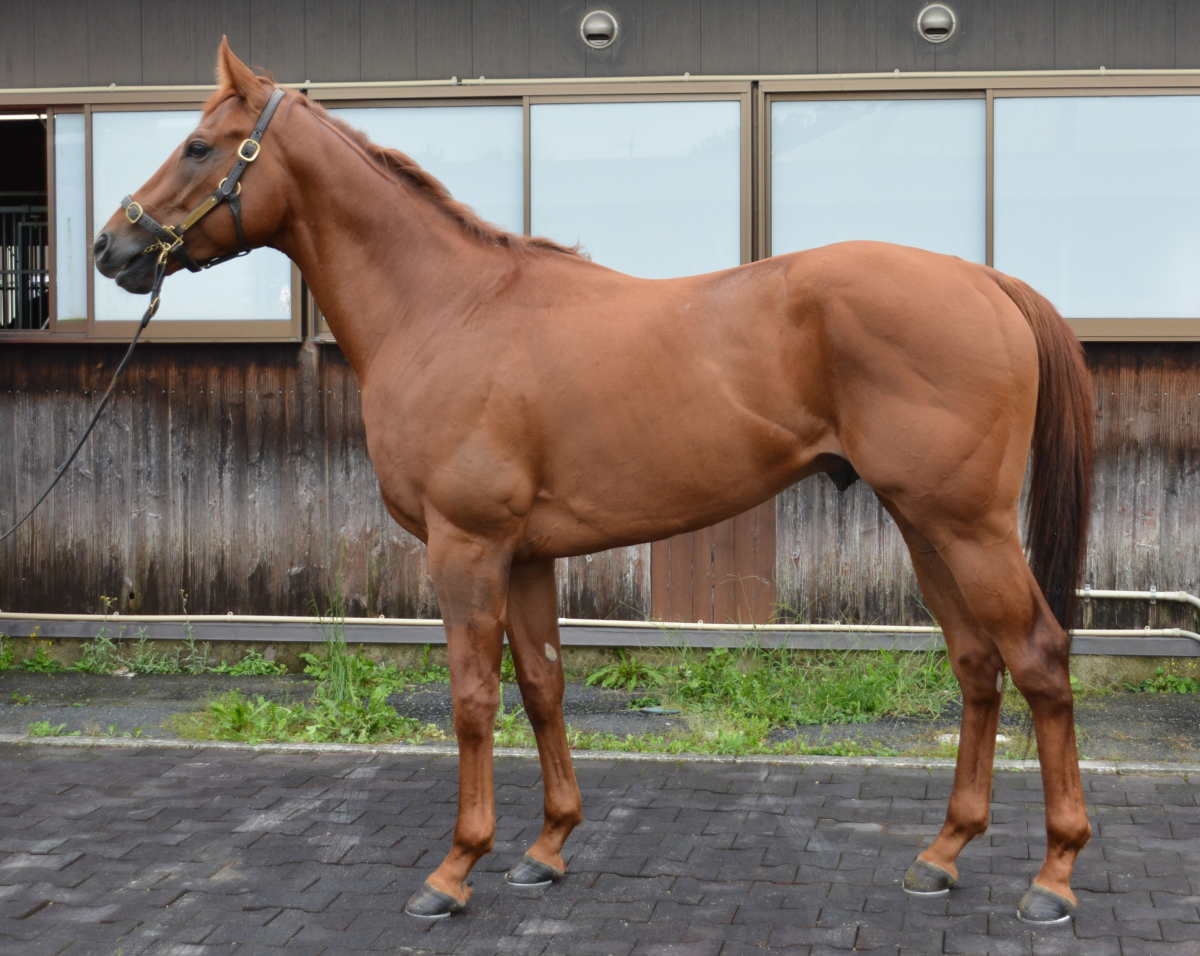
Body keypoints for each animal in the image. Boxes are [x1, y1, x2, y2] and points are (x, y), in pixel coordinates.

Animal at [93, 40, 1094, 924]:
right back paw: (942, 855)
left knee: (1039, 658)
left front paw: (455, 869)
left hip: (968, 527)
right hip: (925, 528)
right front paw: (546, 850)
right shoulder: (529, 555)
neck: (447, 308)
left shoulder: (467, 548)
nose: (113, 248)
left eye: (199, 145)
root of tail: (981, 279)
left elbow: (472, 700)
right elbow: (542, 686)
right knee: (977, 667)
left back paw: (1054, 876)